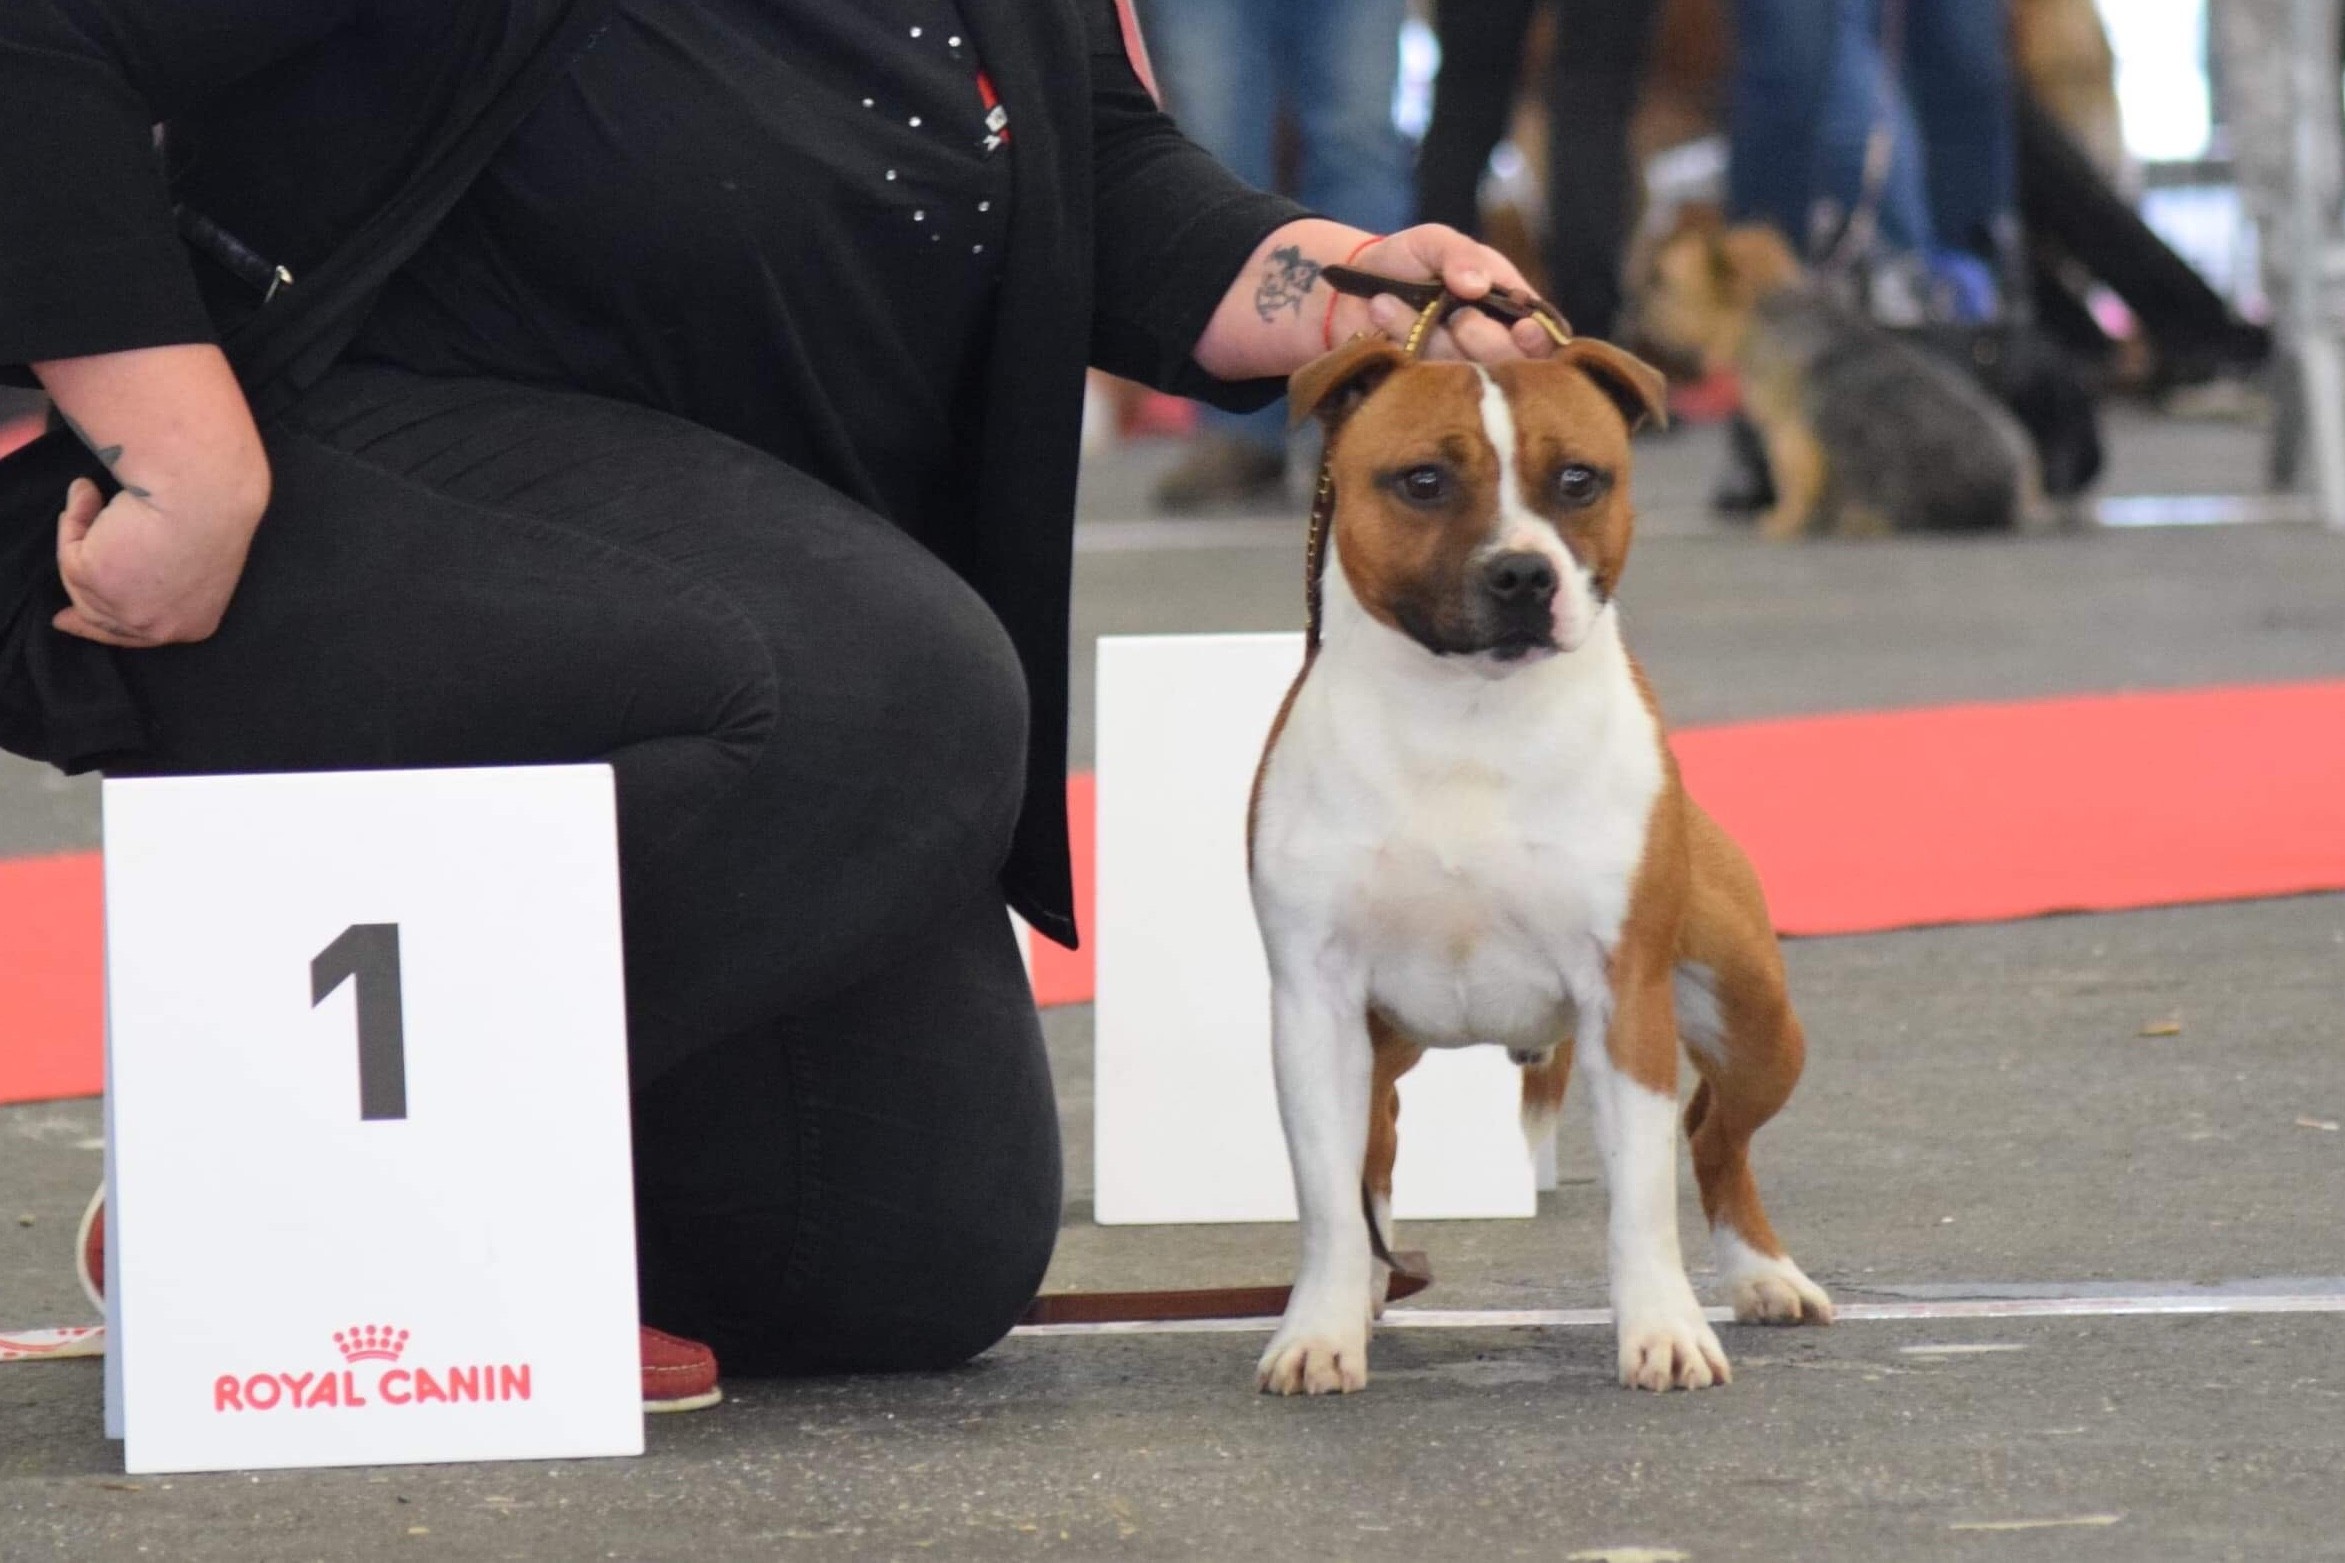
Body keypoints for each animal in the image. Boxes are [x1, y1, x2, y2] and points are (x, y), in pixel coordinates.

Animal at [1247, 330, 1829, 1396]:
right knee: (1377, 1147)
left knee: (1714, 1135)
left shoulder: (1623, 999)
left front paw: (1663, 1330)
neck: (1468, 712)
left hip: (1755, 1022)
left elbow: (1640, 1196)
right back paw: (1371, 1290)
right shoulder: (1316, 1005)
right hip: (1382, 1041)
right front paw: (1317, 1330)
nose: (1522, 574)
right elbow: (1327, 1197)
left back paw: (1763, 1276)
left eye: (1577, 480)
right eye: (1422, 480)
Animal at [1632, 212, 2035, 538]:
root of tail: (2012, 502)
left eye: (1664, 285)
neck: (1771, 309)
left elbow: (1794, 477)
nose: (1636, 314)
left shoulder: (1792, 430)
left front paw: (1784, 522)